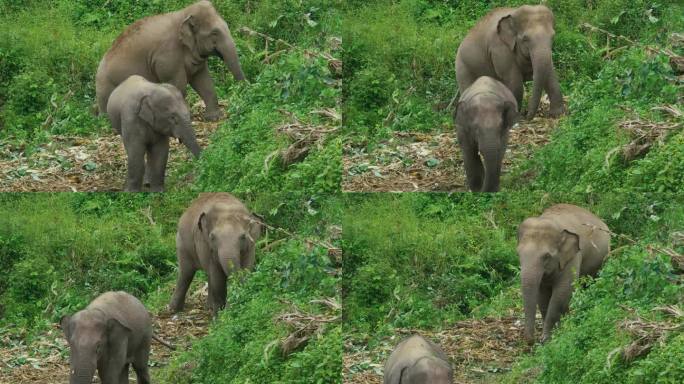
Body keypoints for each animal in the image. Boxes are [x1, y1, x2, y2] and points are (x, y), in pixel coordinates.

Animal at [96, 0, 246, 121]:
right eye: (214, 33)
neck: (183, 13)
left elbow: (203, 81)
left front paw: (213, 118)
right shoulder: (167, 56)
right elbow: (178, 84)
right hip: (105, 86)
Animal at [520, 204, 608, 344]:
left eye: (546, 256)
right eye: (518, 253)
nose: (531, 341)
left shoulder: (573, 256)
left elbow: (562, 291)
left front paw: (547, 339)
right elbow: (542, 295)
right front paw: (553, 333)